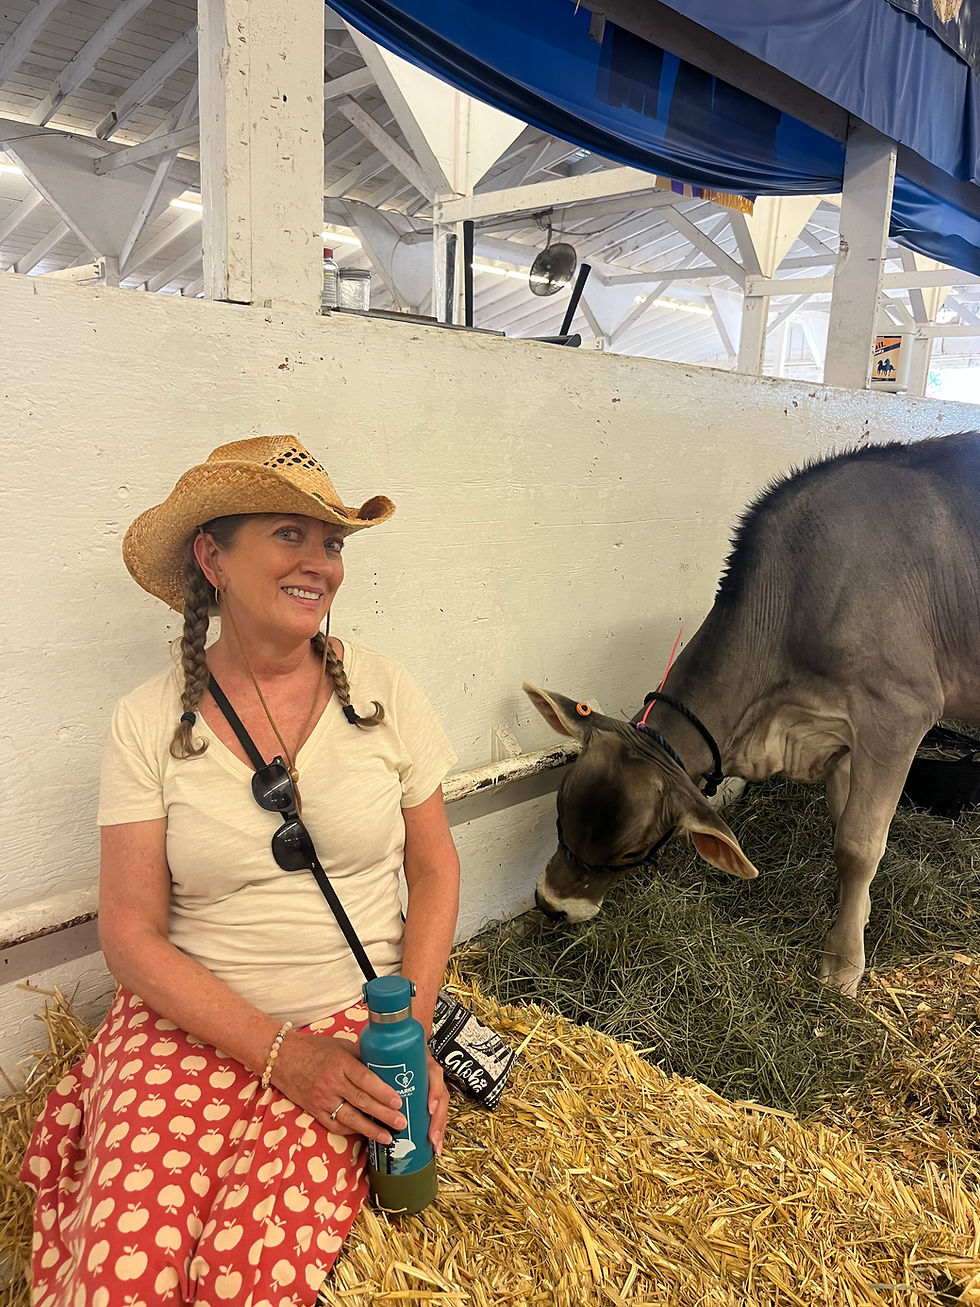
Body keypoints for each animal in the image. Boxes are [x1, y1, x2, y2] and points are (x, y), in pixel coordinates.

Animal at [525, 431, 980, 995]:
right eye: (558, 812)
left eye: (632, 853)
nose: (551, 905)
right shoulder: (840, 732)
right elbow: (843, 822)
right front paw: (859, 914)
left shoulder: (897, 713)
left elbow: (858, 843)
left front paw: (842, 962)